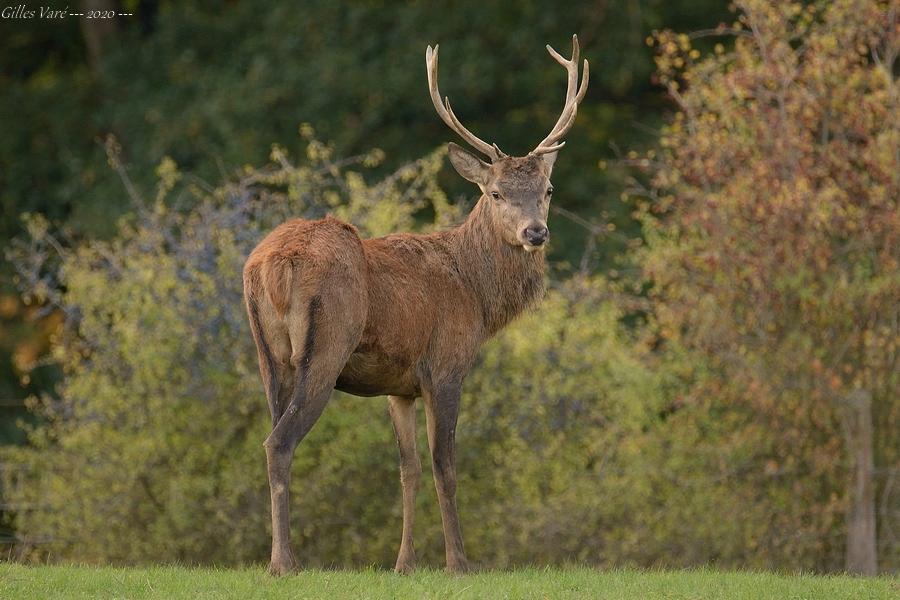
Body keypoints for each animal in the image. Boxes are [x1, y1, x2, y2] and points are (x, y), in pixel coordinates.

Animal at [243, 34, 588, 576]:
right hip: (325, 347)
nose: (536, 232)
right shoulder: (446, 365)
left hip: (267, 355)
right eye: (495, 192)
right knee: (279, 442)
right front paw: (459, 563)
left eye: (548, 189)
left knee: (272, 434)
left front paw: (404, 563)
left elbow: (407, 469)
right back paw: (285, 563)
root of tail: (274, 264)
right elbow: (444, 465)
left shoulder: (399, 386)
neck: (477, 295)